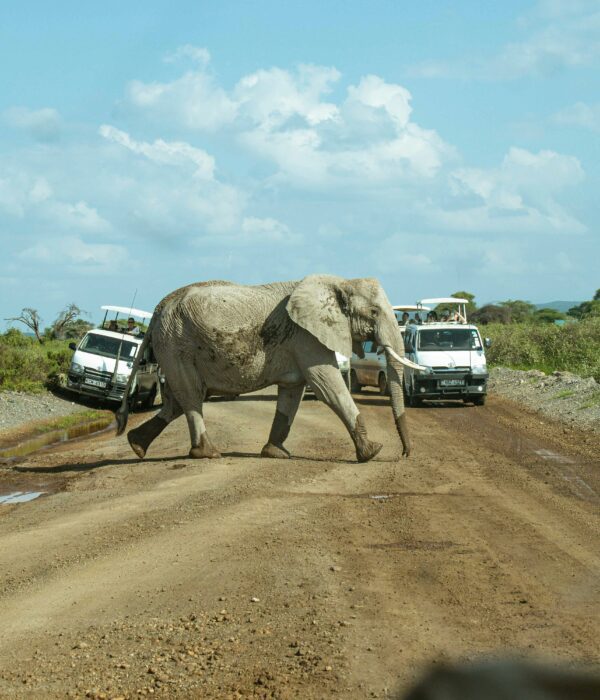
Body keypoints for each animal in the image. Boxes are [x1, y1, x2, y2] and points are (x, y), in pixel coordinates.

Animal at [116, 275, 427, 463]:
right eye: (374, 312)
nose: (404, 454)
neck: (339, 282)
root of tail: (159, 308)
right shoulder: (306, 338)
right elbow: (328, 387)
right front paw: (372, 452)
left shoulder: (299, 343)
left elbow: (291, 395)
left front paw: (276, 453)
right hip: (177, 343)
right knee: (191, 396)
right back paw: (209, 454)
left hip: (173, 347)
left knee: (178, 400)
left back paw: (136, 445)